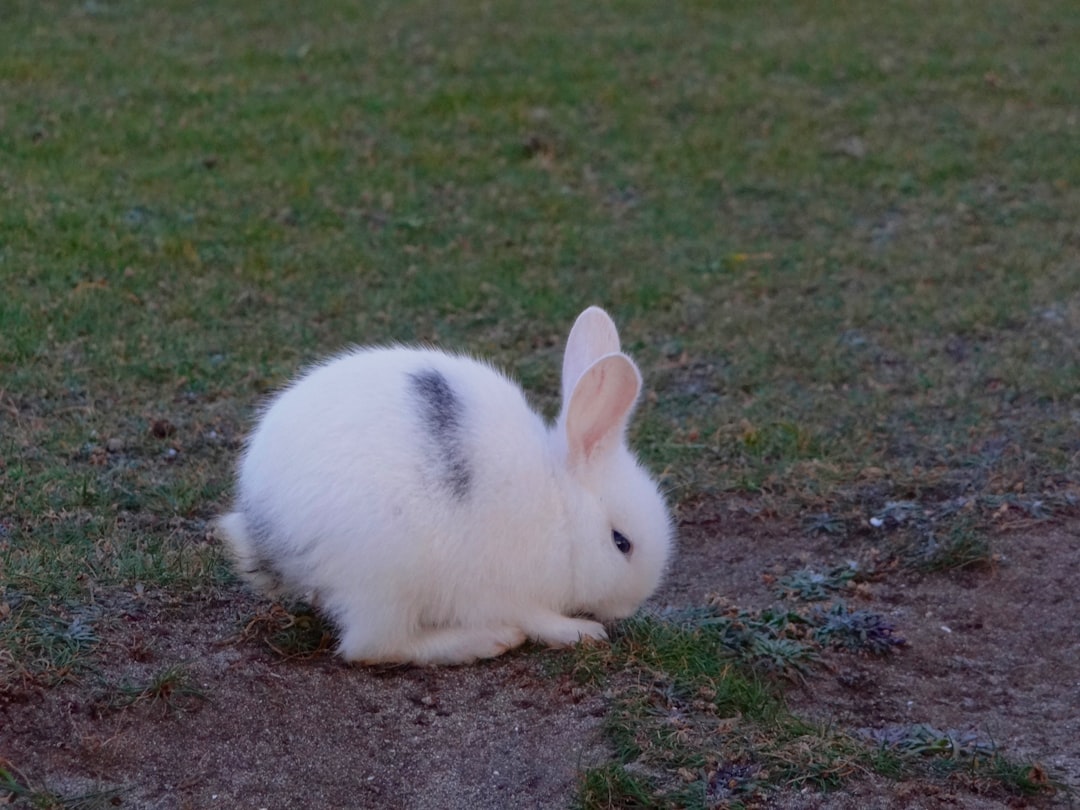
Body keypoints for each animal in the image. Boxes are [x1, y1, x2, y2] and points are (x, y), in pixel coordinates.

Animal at [216, 306, 673, 665]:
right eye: (620, 542)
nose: (628, 608)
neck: (561, 506)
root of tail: (263, 529)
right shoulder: (506, 589)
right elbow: (539, 619)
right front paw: (582, 632)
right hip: (384, 578)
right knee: (373, 646)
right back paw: (485, 641)